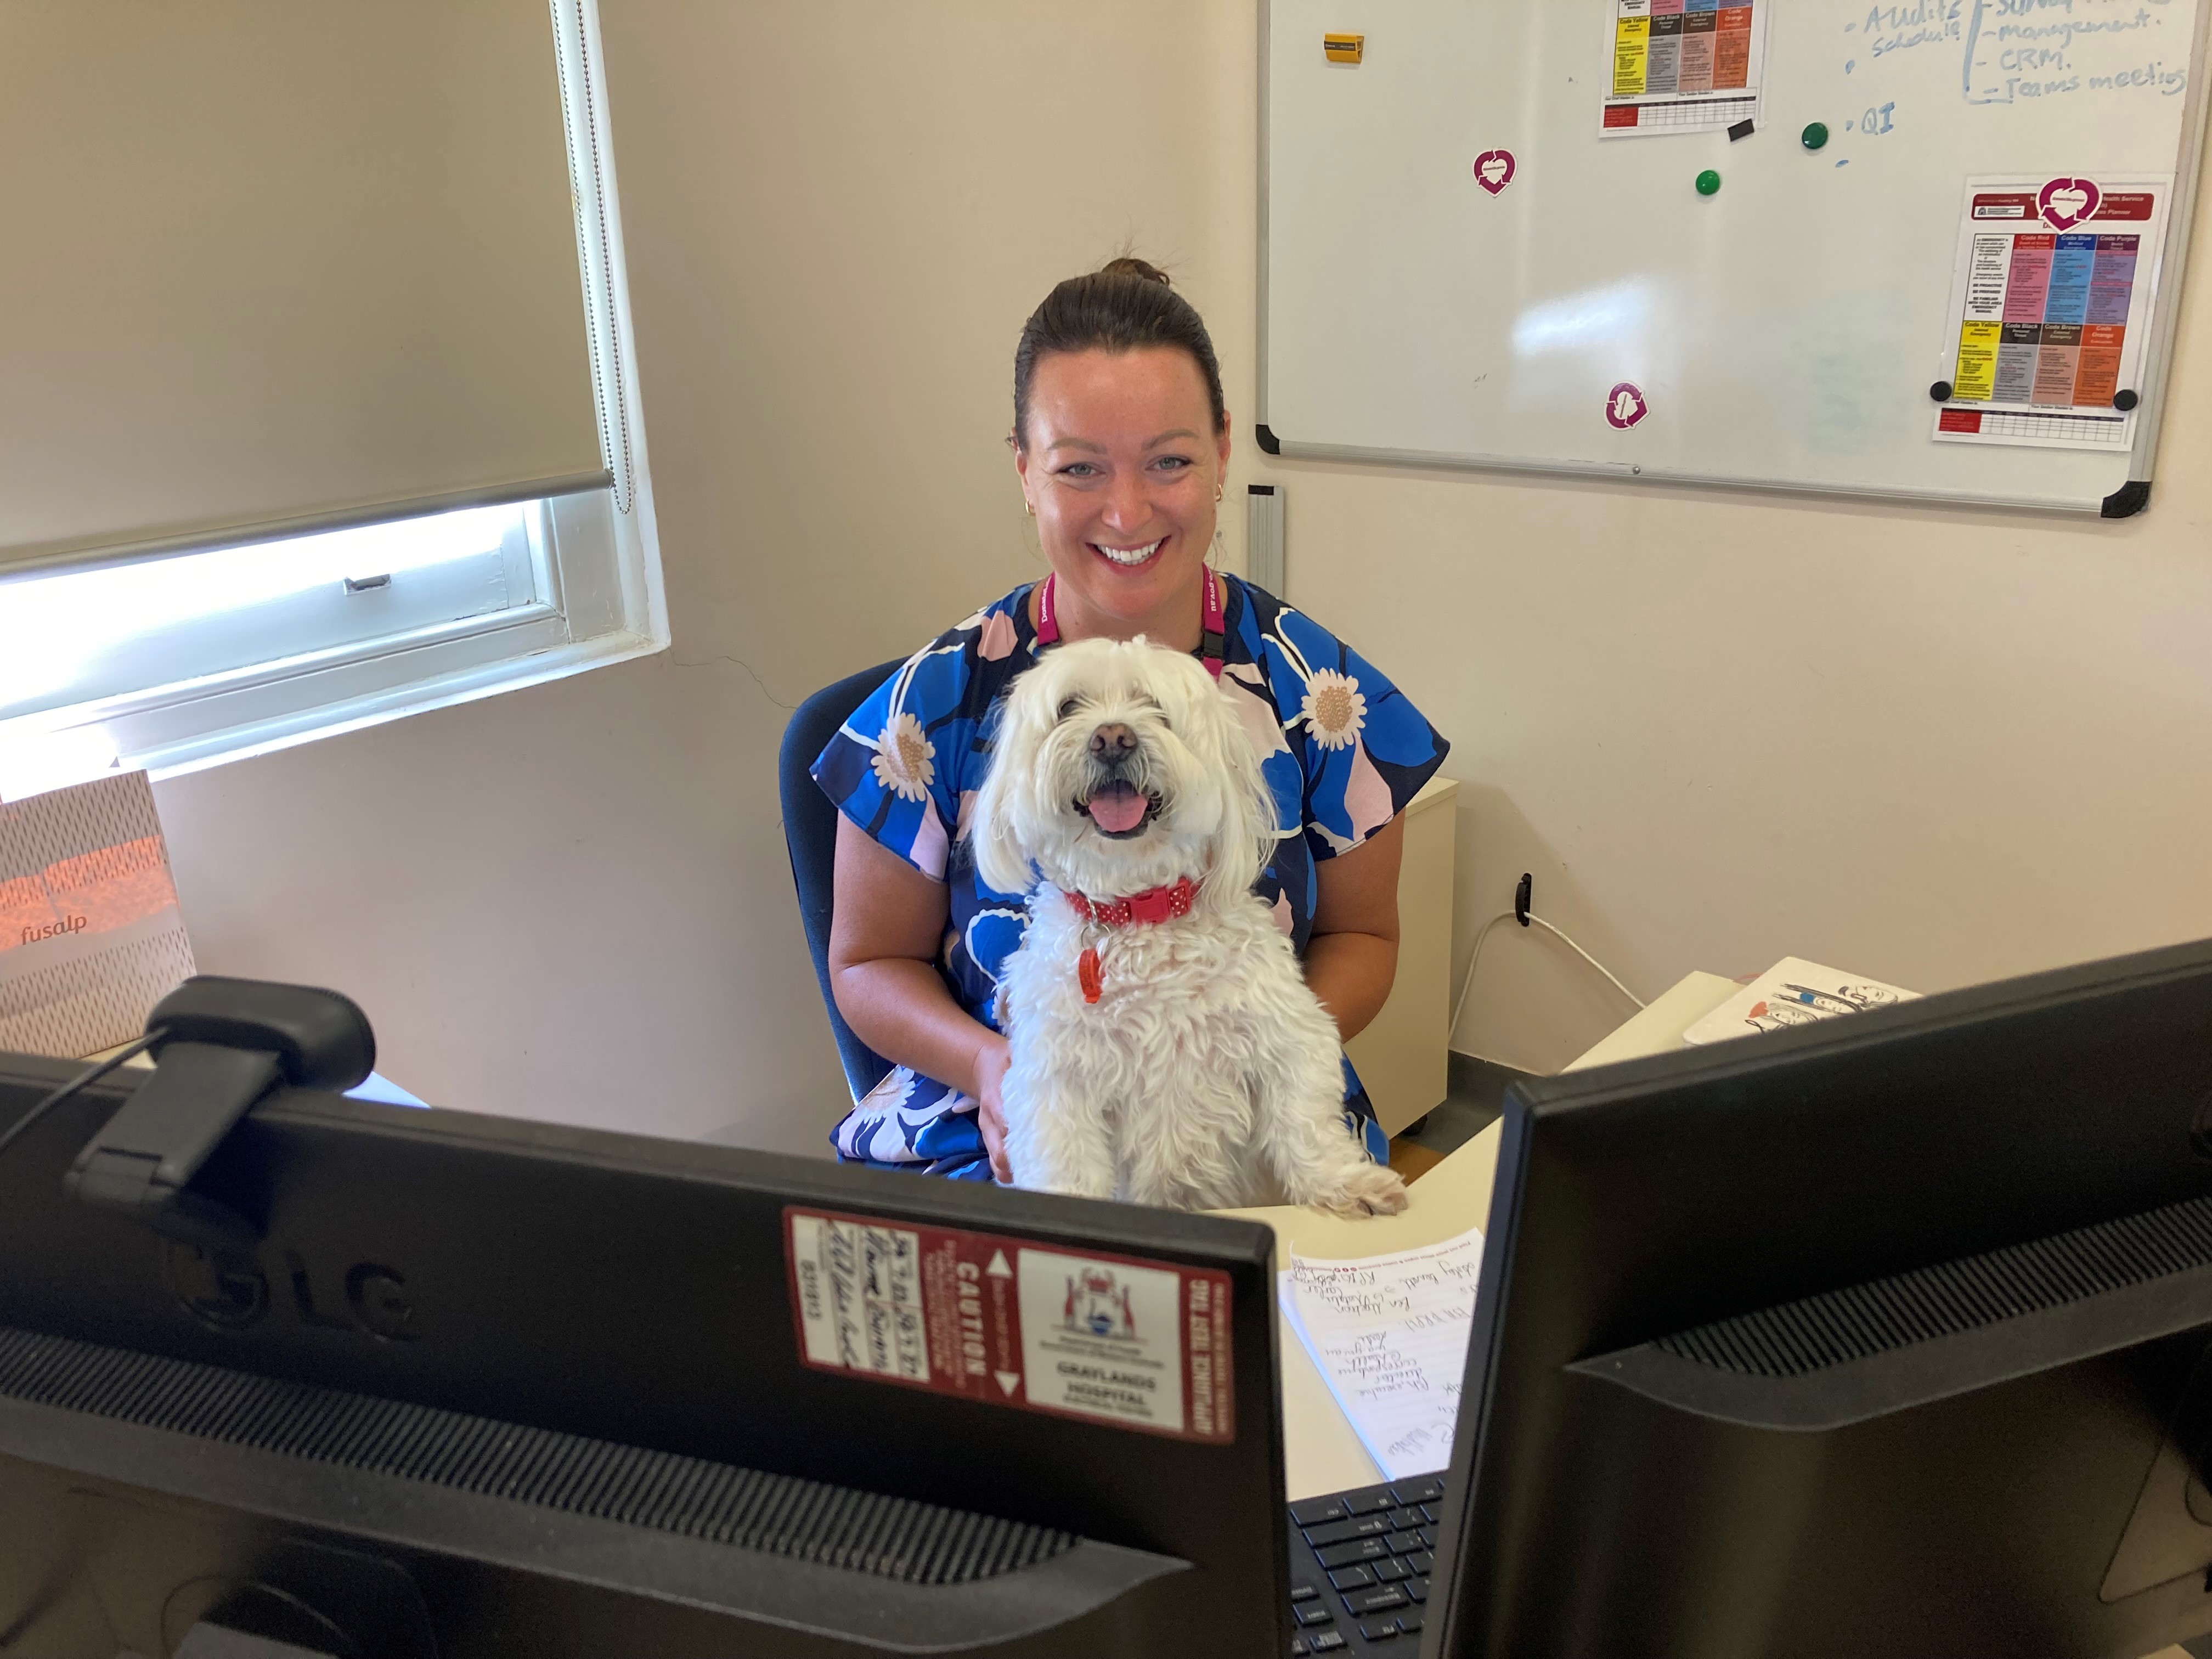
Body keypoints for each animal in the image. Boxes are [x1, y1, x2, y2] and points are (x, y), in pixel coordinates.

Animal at [973, 637, 1415, 1221]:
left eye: (1155, 707)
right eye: (1068, 707)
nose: (1112, 738)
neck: (1138, 912)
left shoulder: (1288, 1035)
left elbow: (1305, 1122)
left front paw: (1345, 1183)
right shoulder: (1055, 1084)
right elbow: (1065, 1163)